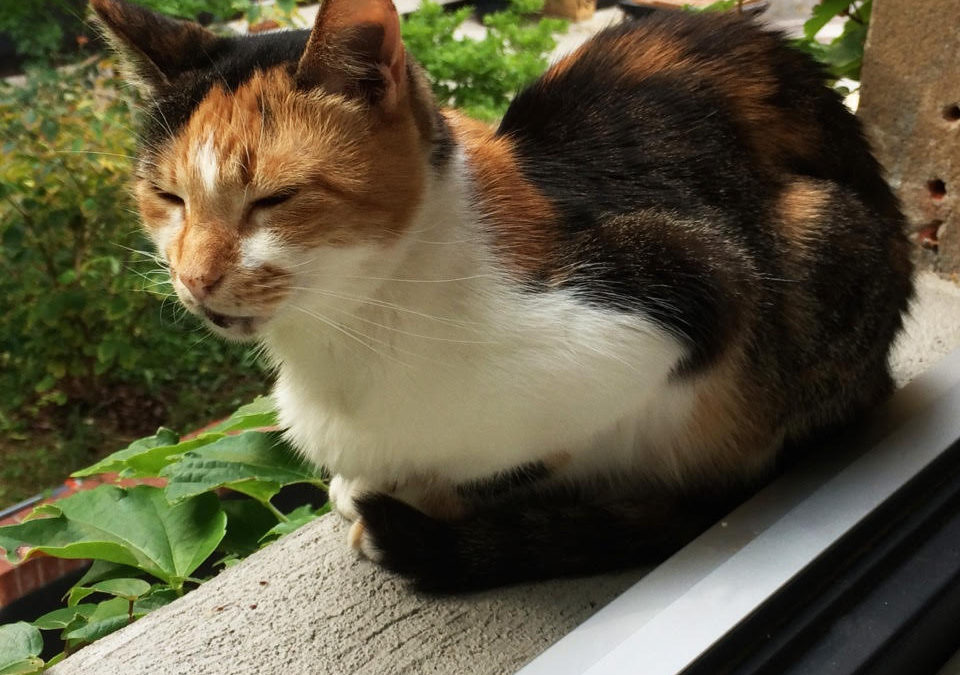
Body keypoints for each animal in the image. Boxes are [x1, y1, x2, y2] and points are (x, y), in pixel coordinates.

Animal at [92, 0, 916, 592]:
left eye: (275, 198)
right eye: (167, 197)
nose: (194, 278)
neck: (348, 334)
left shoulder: (684, 294)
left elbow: (516, 457)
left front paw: (412, 501)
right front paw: (368, 484)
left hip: (820, 235)